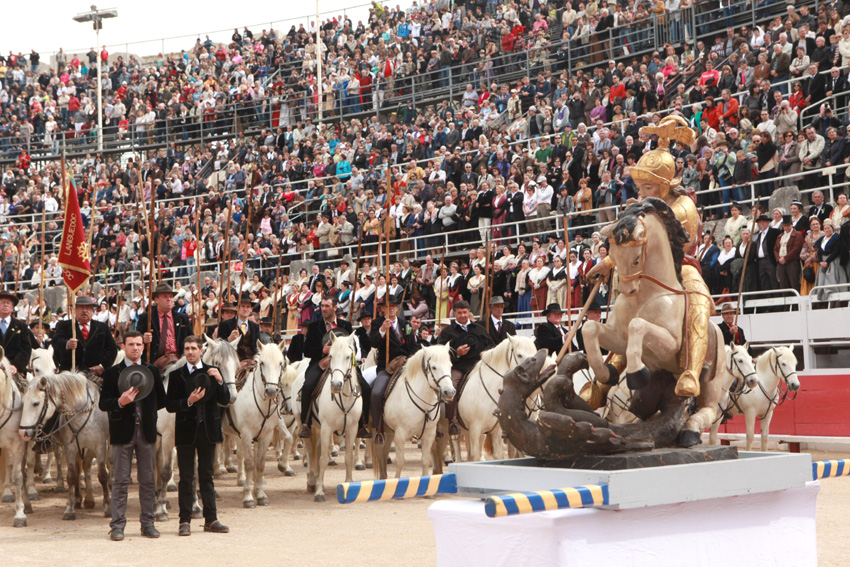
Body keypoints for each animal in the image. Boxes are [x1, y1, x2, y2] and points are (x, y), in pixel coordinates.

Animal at [18, 370, 110, 520]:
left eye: (36, 403)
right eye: (23, 402)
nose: (23, 432)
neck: (81, 413)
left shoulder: (99, 446)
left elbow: (102, 475)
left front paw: (108, 508)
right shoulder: (70, 448)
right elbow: (72, 476)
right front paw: (69, 510)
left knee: (91, 465)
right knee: (82, 466)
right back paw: (82, 499)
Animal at [224, 340, 286, 508]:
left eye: (281, 363)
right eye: (262, 363)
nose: (271, 390)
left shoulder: (265, 436)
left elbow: (260, 464)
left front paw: (260, 495)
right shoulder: (246, 435)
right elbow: (250, 464)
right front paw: (248, 497)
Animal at [302, 336, 362, 504]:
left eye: (348, 356)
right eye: (330, 356)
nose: (336, 385)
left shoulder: (352, 428)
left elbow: (348, 457)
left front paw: (349, 484)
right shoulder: (327, 427)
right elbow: (323, 459)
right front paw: (319, 493)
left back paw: (317, 480)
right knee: (310, 451)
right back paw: (312, 482)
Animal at [372, 344, 450, 482]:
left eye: (450, 365)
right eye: (434, 367)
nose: (450, 392)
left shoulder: (429, 434)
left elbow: (425, 460)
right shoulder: (400, 434)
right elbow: (400, 461)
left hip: (389, 431)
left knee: (384, 452)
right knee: (379, 452)